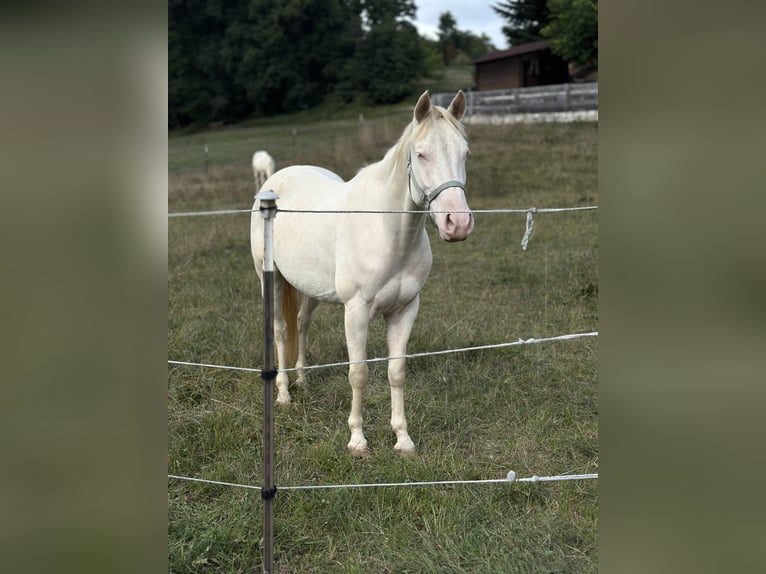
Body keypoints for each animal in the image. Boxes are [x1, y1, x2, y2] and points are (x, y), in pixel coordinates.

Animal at [250, 91, 473, 456]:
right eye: (421, 154)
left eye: (464, 153)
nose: (458, 224)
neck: (386, 231)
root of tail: (273, 183)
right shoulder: (356, 311)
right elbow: (358, 373)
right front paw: (357, 441)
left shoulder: (405, 310)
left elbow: (396, 372)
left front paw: (403, 440)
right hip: (271, 278)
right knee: (281, 331)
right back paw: (283, 393)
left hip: (310, 288)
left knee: (301, 323)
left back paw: (303, 381)